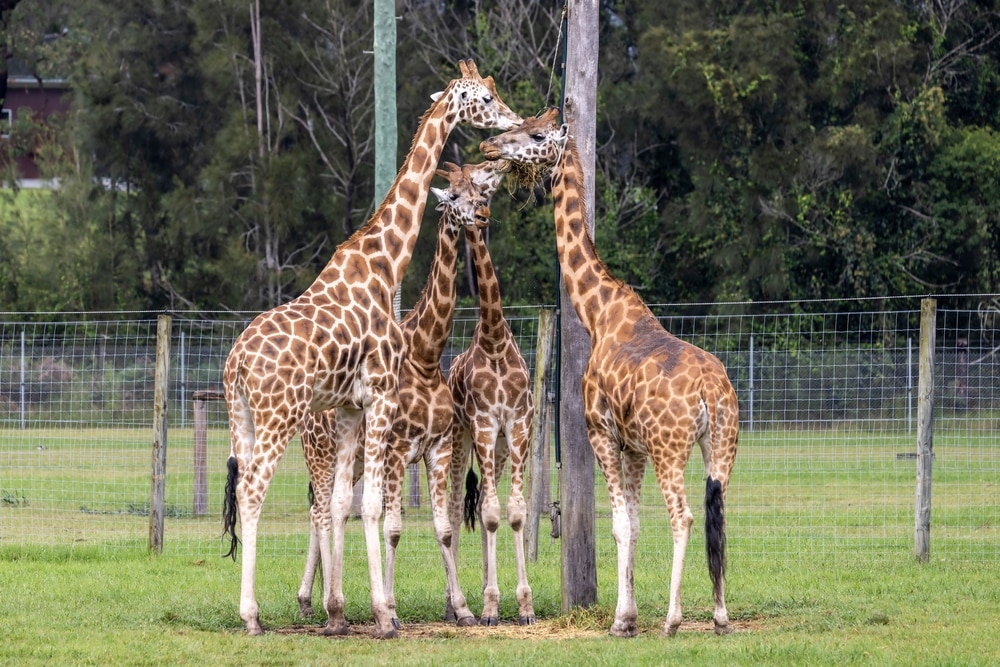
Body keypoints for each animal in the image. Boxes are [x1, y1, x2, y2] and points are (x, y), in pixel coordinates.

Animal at [296, 161, 500, 630]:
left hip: (351, 463)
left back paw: (314, 600)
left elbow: (443, 528)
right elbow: (392, 528)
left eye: (481, 193)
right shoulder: (395, 450)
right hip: (320, 456)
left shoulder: (436, 447)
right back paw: (322, 601)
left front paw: (463, 610)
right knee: (320, 513)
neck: (425, 356)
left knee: (327, 511)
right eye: (454, 196)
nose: (481, 216)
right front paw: (388, 609)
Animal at [480, 108, 740, 637]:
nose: (490, 147)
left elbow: (620, 524)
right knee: (717, 514)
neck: (596, 312)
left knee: (683, 516)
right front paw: (630, 613)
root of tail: (711, 390)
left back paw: (673, 620)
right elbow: (634, 525)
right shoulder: (634, 446)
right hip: (721, 443)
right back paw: (721, 617)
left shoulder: (602, 432)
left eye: (535, 133)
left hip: (671, 448)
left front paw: (624, 620)